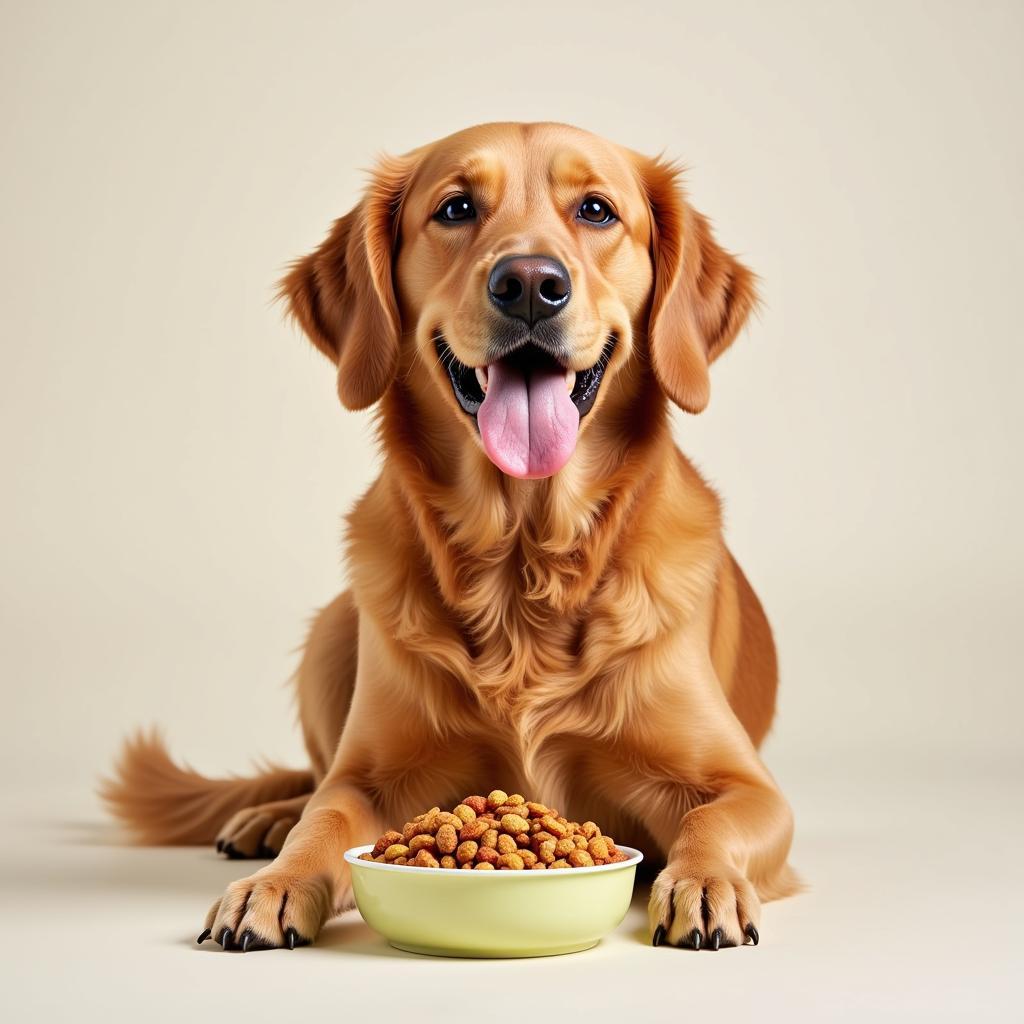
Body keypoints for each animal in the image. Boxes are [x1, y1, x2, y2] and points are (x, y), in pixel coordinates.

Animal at [99, 123, 794, 954]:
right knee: (310, 782)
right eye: (457, 208)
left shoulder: (750, 786)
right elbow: (325, 818)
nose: (528, 283)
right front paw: (273, 885)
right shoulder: (371, 776)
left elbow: (711, 824)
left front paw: (704, 882)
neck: (522, 558)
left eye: (596, 210)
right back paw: (265, 820)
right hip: (334, 632)